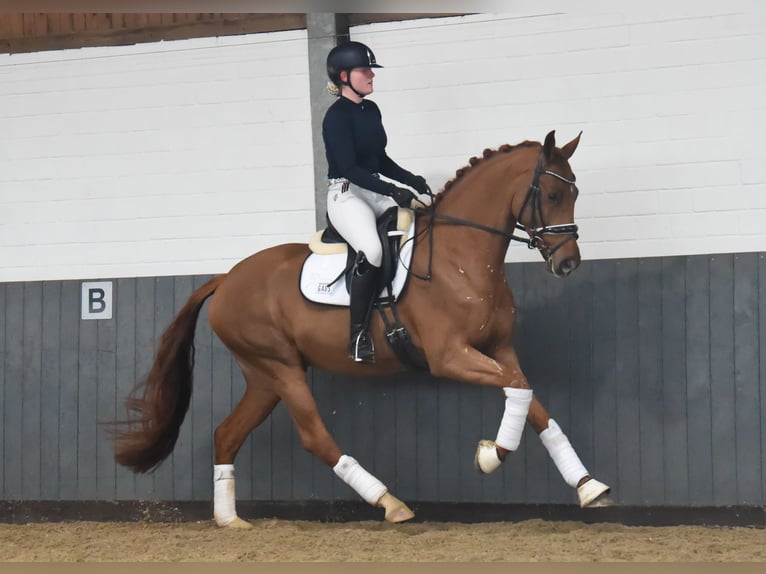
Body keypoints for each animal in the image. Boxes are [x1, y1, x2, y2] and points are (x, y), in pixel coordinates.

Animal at [111, 132, 612, 532]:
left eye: (575, 191)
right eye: (552, 193)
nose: (568, 263)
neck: (461, 256)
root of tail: (227, 278)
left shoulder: (500, 349)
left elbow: (531, 399)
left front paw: (588, 486)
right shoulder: (449, 356)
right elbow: (520, 392)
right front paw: (491, 455)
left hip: (263, 377)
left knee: (226, 434)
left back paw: (230, 519)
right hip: (280, 367)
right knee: (314, 437)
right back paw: (390, 503)